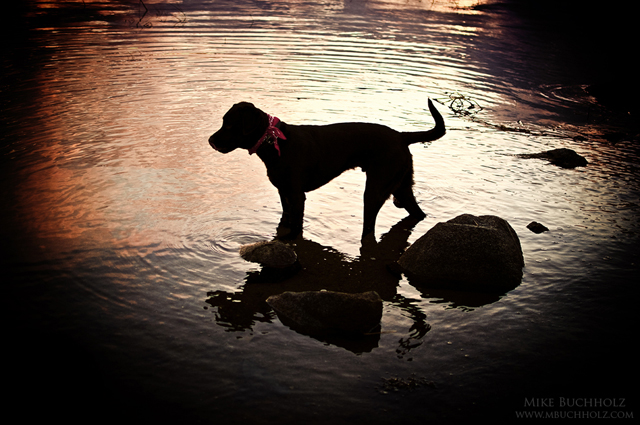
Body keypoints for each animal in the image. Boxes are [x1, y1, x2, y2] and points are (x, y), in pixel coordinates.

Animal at [210, 97, 444, 240]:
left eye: (229, 124)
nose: (210, 140)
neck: (274, 142)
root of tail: (401, 136)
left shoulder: (296, 195)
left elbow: (296, 226)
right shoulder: (283, 193)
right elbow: (285, 220)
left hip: (375, 190)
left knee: (369, 226)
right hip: (401, 187)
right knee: (417, 213)